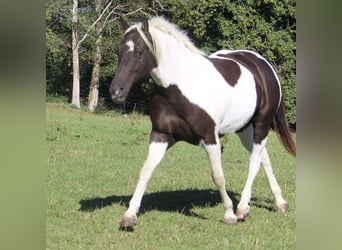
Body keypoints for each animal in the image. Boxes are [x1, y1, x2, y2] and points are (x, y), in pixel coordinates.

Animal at [109, 16, 294, 230]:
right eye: (119, 50)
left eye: (139, 52)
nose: (116, 91)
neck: (180, 87)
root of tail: (263, 64)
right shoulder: (160, 136)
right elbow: (146, 171)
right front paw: (129, 216)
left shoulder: (210, 138)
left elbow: (218, 176)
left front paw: (229, 214)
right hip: (245, 129)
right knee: (265, 158)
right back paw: (280, 203)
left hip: (262, 123)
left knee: (254, 162)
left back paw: (242, 208)